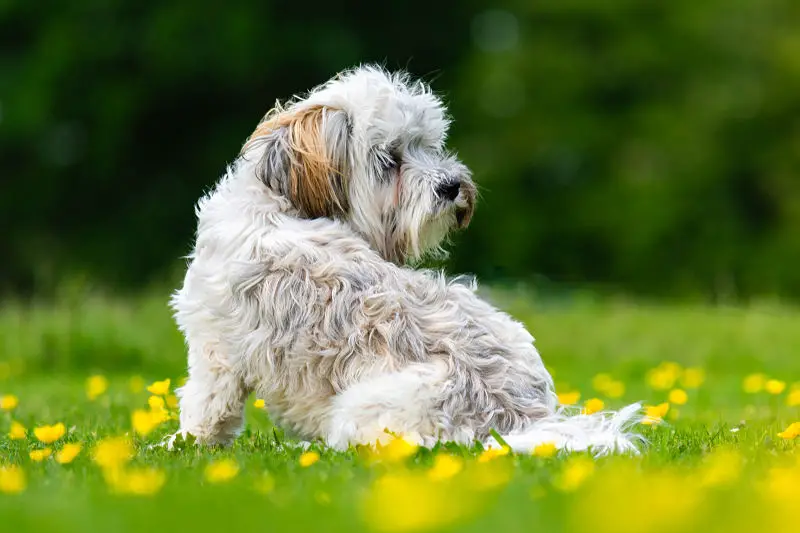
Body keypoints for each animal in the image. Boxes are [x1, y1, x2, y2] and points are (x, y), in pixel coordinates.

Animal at [170, 64, 644, 450]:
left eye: (429, 145)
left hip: (360, 407)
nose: (452, 186)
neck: (277, 207)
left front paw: (179, 447)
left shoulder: (215, 353)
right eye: (390, 159)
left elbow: (204, 411)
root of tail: (520, 421)